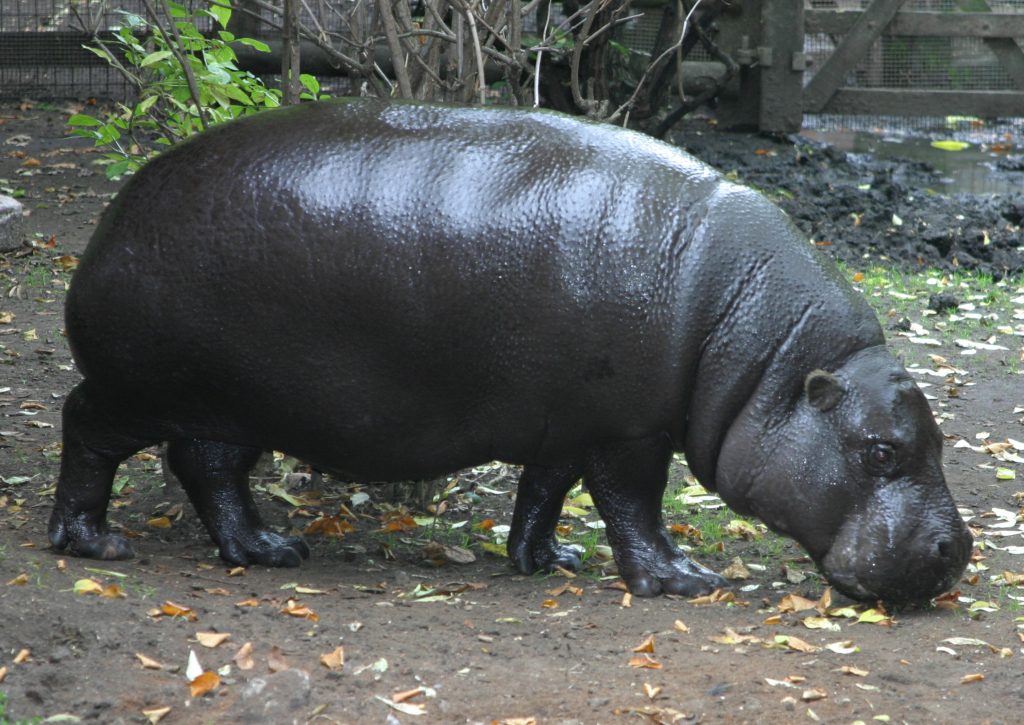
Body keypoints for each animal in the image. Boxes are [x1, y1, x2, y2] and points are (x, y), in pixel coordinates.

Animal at [51, 99, 970, 602]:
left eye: (936, 438)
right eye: (880, 450)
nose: (956, 550)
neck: (765, 356)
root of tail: (118, 208)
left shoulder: (564, 420)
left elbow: (544, 491)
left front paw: (545, 560)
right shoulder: (629, 430)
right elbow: (632, 503)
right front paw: (682, 580)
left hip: (228, 405)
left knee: (209, 470)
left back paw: (270, 551)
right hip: (138, 386)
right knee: (87, 428)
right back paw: (91, 543)